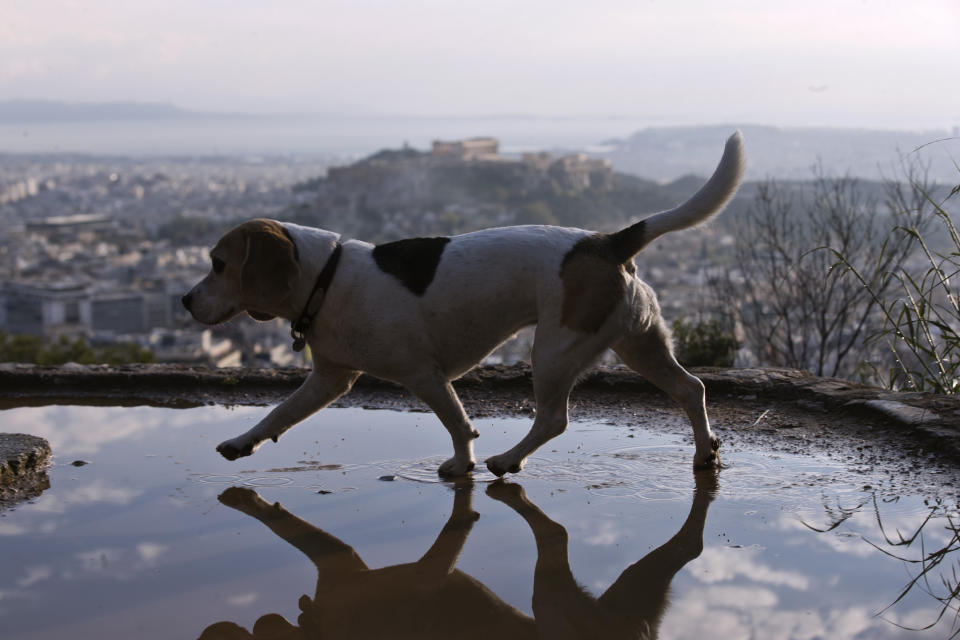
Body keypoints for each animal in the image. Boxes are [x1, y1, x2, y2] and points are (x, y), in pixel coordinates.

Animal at [184, 132, 748, 478]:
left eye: (218, 263)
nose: (185, 300)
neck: (327, 276)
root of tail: (606, 241)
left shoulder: (424, 375)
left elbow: (458, 424)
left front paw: (463, 465)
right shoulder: (330, 378)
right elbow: (279, 413)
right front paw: (242, 443)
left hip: (555, 350)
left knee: (554, 420)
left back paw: (507, 460)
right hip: (638, 343)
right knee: (691, 388)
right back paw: (705, 453)